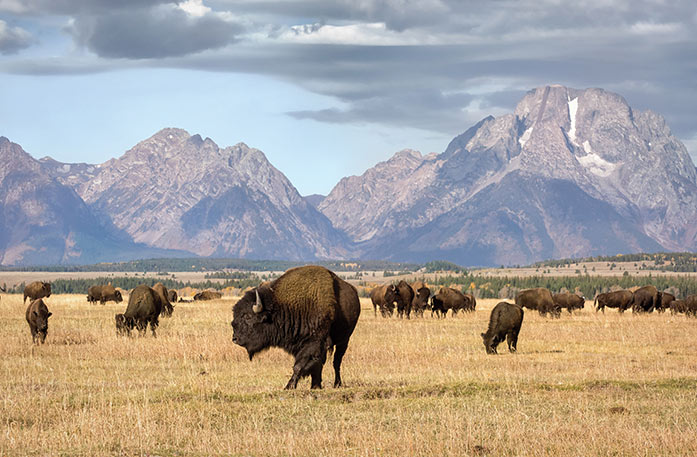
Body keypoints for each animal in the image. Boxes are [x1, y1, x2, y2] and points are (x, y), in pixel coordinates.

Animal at [232, 264, 362, 388]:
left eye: (247, 316)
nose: (235, 338)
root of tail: (354, 291)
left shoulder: (313, 343)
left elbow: (299, 366)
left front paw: (289, 386)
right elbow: (313, 365)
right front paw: (314, 386)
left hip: (344, 341)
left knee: (336, 362)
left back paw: (337, 384)